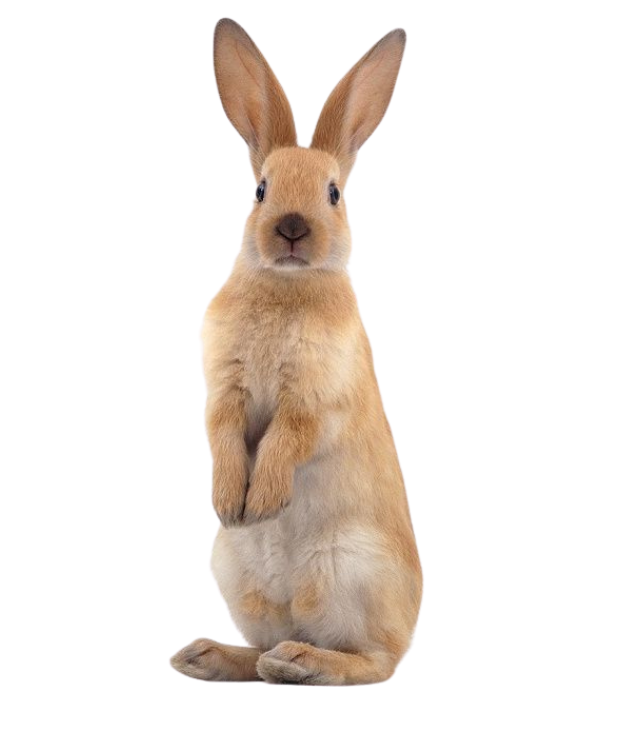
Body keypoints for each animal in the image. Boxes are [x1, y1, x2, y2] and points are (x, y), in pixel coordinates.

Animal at [170, 18, 422, 685]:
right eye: (260, 190)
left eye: (333, 193)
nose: (290, 226)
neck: (285, 285)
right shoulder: (224, 390)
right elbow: (224, 434)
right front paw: (233, 504)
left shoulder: (314, 398)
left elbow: (287, 439)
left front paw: (261, 502)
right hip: (240, 579)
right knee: (260, 651)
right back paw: (204, 656)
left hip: (349, 573)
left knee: (372, 662)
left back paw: (301, 662)